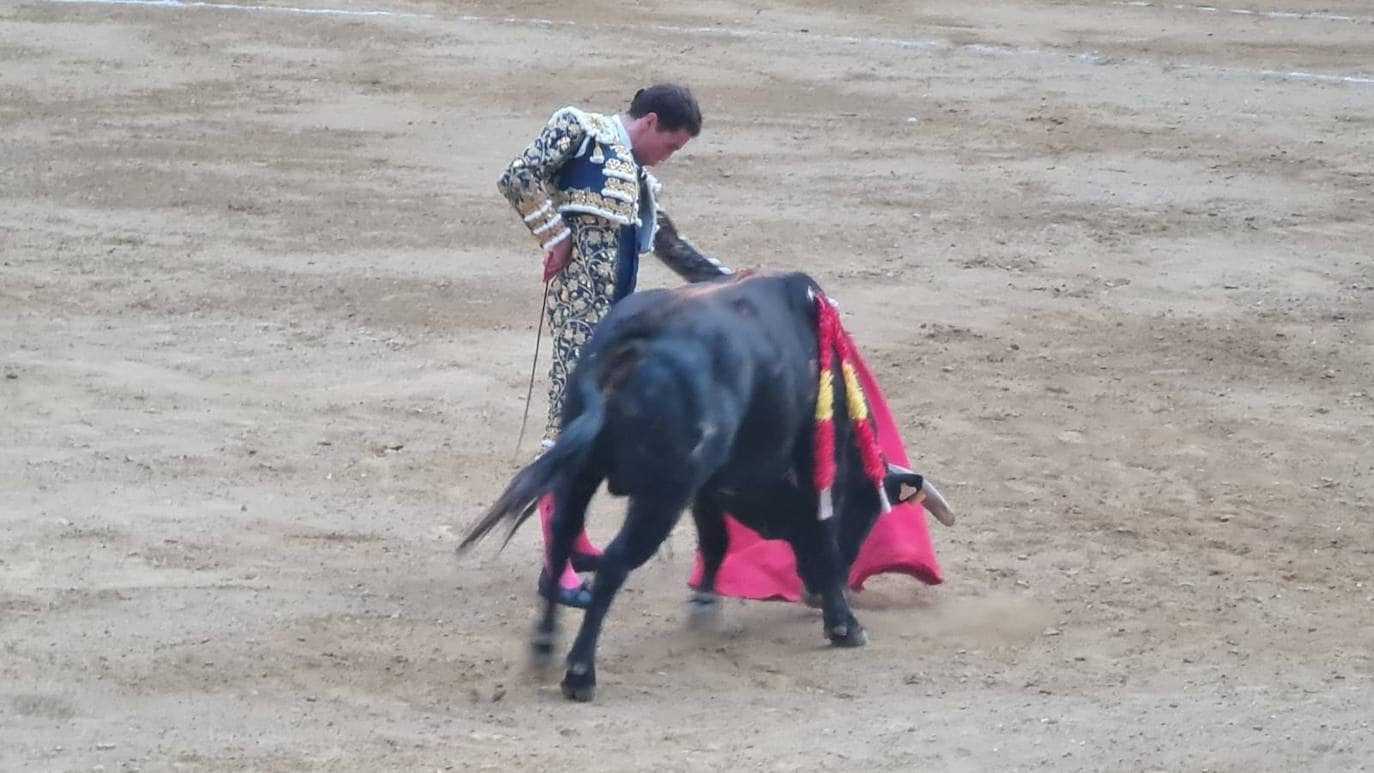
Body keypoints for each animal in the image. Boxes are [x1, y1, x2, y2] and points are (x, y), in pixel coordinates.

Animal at [456, 269, 950, 702]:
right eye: (866, 511)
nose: (813, 595)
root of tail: (633, 340)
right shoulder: (802, 479)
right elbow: (818, 540)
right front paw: (845, 624)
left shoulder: (708, 486)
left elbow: (716, 542)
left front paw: (704, 607)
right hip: (663, 492)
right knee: (615, 562)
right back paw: (580, 673)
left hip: (584, 469)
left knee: (561, 538)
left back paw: (543, 645)